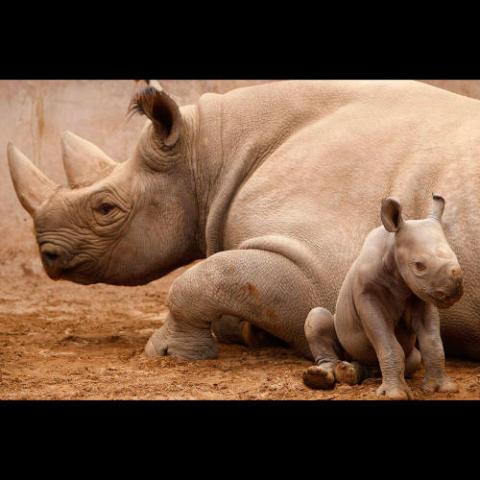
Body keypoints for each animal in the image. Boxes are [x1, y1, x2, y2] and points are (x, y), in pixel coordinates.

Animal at [304, 193, 464, 400]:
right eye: (419, 265)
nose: (455, 290)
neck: (392, 248)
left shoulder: (421, 295)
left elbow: (432, 343)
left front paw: (441, 389)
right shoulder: (368, 295)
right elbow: (388, 343)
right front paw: (395, 395)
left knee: (410, 358)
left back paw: (349, 373)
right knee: (317, 317)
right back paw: (320, 377)